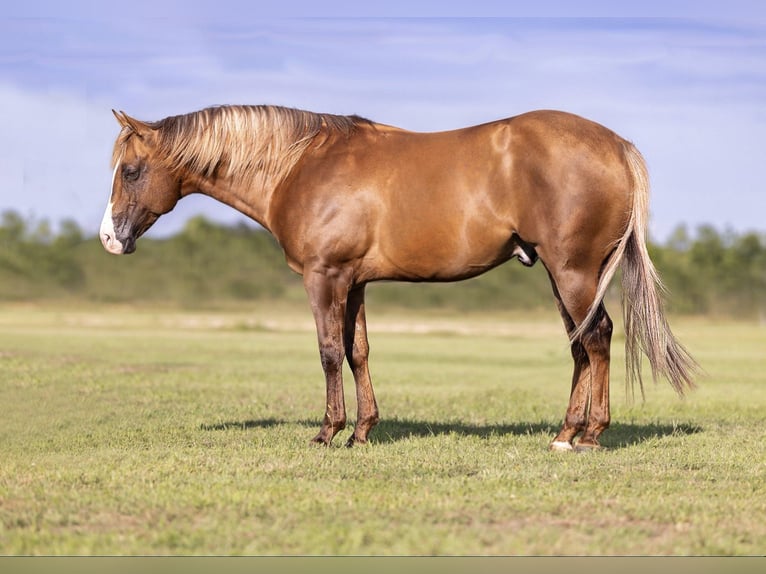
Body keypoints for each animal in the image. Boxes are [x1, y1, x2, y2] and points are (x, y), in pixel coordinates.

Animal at [100, 105, 697, 451]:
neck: (300, 165)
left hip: (573, 271)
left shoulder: (324, 277)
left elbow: (328, 352)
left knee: (596, 339)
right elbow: (358, 351)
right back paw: (565, 432)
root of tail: (615, 144)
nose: (110, 238)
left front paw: (328, 431)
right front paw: (364, 431)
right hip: (563, 275)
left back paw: (590, 436)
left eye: (131, 170)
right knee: (581, 344)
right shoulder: (355, 282)